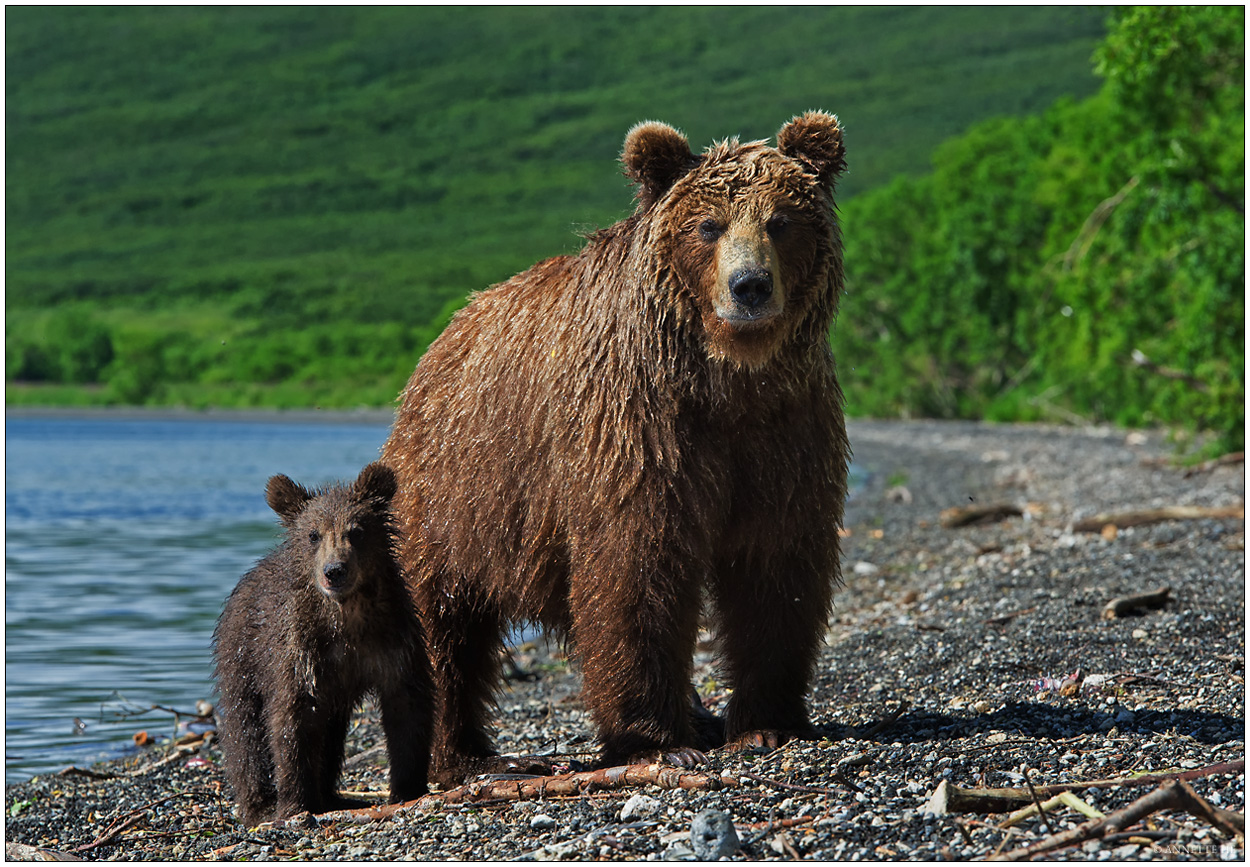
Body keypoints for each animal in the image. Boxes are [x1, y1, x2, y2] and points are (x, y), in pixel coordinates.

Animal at [380, 110, 850, 789]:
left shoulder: (784, 430)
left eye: (781, 220)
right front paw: (657, 742)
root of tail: (441, 344)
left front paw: (767, 722)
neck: (725, 379)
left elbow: (777, 564)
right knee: (444, 625)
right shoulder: (639, 428)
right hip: (455, 491)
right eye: (708, 226)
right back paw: (468, 757)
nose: (750, 286)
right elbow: (635, 566)